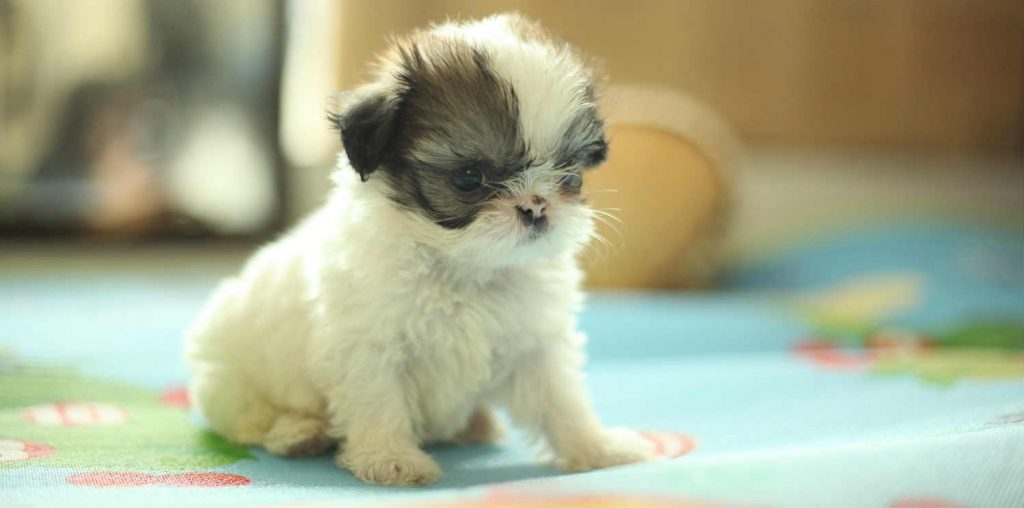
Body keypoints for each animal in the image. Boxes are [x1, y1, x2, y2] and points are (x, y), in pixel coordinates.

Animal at [185, 13, 651, 485]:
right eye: (469, 178)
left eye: (570, 175)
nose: (537, 206)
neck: (465, 269)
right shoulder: (368, 346)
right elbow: (379, 402)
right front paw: (391, 459)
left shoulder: (535, 344)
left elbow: (560, 401)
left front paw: (597, 447)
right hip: (229, 380)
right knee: (251, 420)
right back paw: (298, 432)